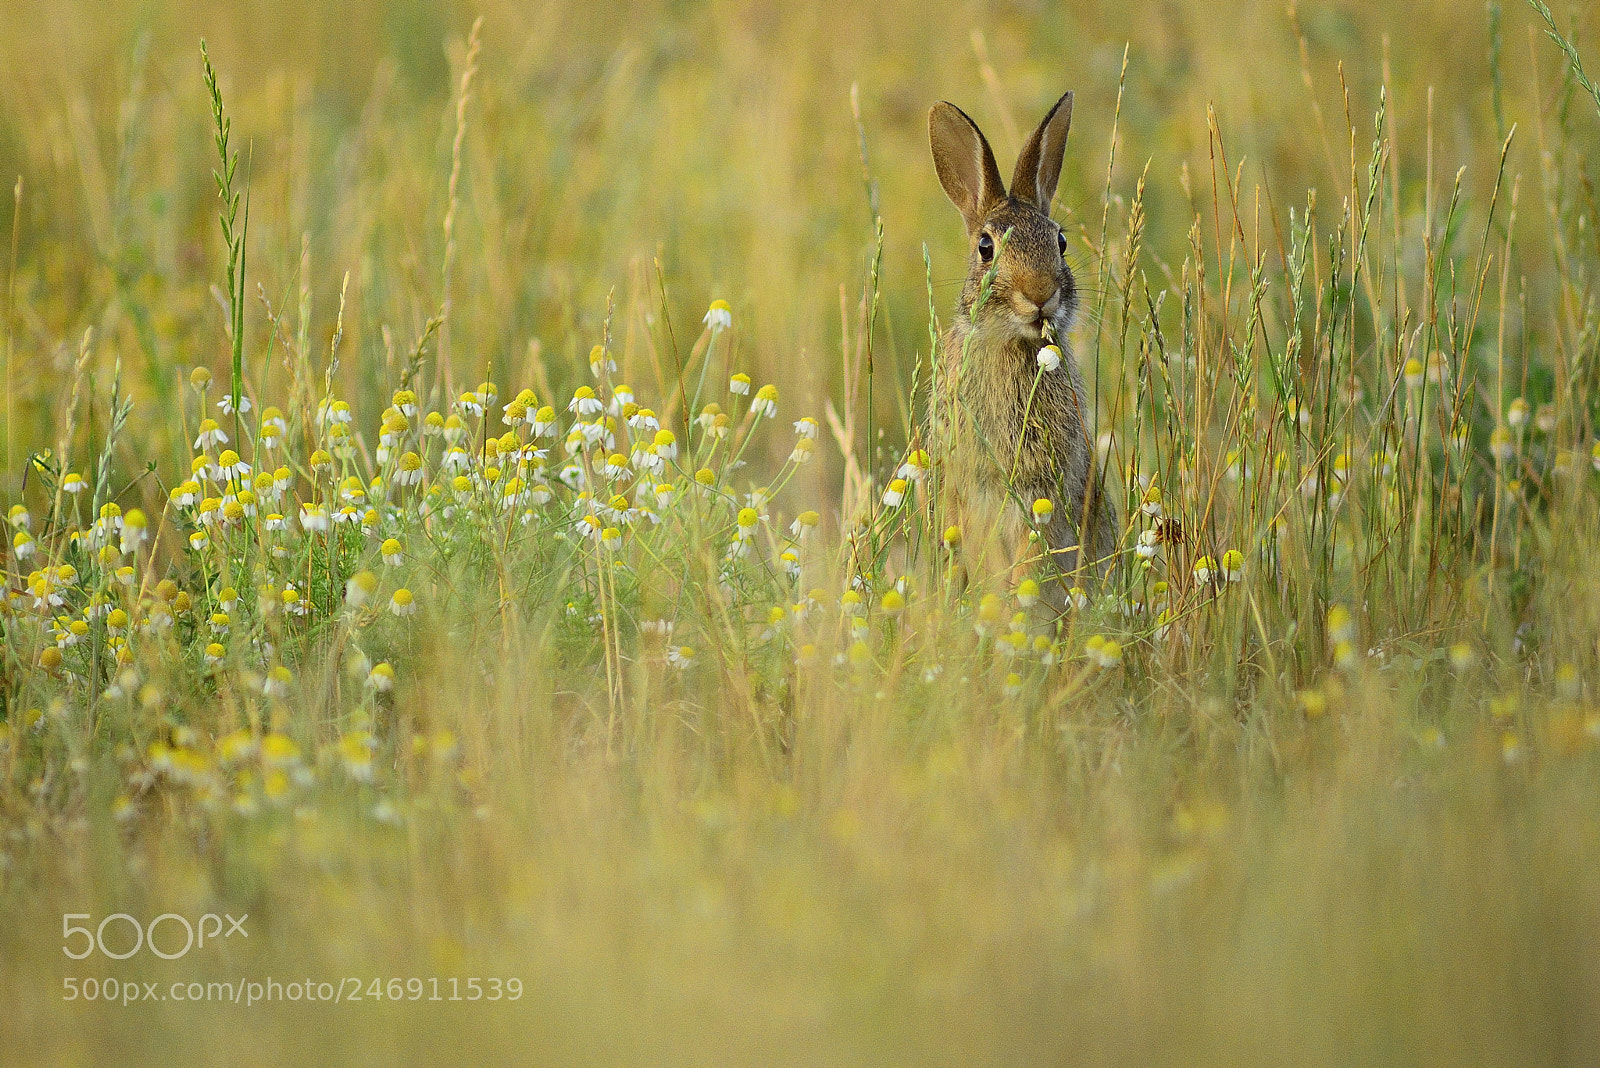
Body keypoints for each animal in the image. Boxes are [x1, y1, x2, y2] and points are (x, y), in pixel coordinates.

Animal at [927, 91, 1119, 607]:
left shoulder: (1042, 492)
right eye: (986, 246)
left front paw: (1015, 598)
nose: (1041, 294)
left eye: (1061, 241)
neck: (1011, 342)